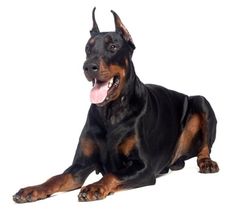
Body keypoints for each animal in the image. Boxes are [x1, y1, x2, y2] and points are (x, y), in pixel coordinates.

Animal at [12, 7, 218, 203]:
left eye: (113, 46)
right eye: (88, 48)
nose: (89, 66)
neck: (110, 113)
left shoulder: (144, 167)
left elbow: (112, 174)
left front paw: (94, 187)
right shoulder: (80, 166)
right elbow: (56, 178)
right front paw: (33, 189)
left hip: (201, 101)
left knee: (205, 147)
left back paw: (207, 163)